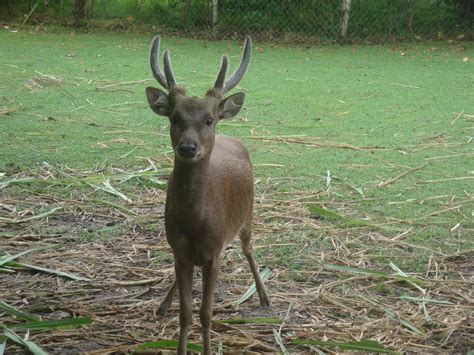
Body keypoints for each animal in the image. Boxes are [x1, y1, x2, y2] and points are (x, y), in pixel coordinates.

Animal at [144, 34, 270, 354]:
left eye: (209, 119)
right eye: (174, 118)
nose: (188, 148)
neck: (195, 223)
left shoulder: (215, 251)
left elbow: (206, 312)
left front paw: (208, 349)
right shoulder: (179, 248)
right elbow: (187, 312)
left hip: (248, 215)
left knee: (249, 248)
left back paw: (265, 296)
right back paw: (163, 304)